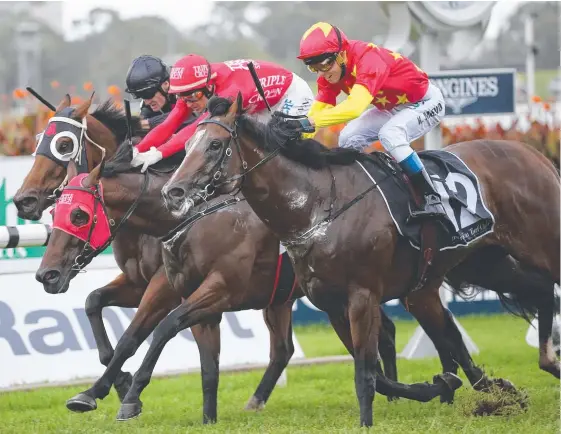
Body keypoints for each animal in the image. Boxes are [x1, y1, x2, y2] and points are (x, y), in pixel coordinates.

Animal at [37, 152, 462, 420]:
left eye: (79, 214)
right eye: (53, 213)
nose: (47, 274)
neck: (188, 216)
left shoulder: (211, 289)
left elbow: (155, 330)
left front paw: (126, 394)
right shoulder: (166, 286)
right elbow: (106, 312)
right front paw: (100, 389)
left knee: (385, 339)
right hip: (292, 300)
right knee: (300, 347)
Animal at [160, 93, 556, 426]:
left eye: (214, 145)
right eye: (187, 145)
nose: (172, 191)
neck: (317, 207)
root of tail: (534, 154)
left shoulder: (362, 296)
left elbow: (366, 371)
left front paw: (369, 421)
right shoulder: (333, 304)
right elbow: (375, 374)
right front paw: (440, 385)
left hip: (540, 246)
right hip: (481, 263)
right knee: (535, 290)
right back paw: (534, 369)